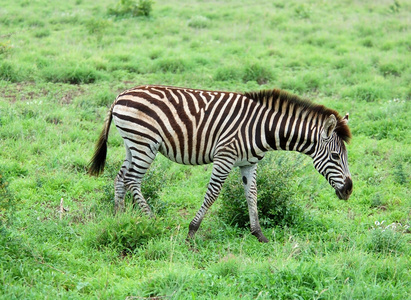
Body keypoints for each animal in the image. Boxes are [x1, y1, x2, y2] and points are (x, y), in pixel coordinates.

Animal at [88, 84, 352, 241]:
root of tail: (121, 95)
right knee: (133, 180)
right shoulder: (225, 156)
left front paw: (259, 234)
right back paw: (152, 221)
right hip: (145, 143)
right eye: (335, 157)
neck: (262, 128)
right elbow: (213, 193)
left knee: (121, 177)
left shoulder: (249, 163)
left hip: (132, 143)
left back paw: (120, 218)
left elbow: (252, 195)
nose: (349, 190)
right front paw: (192, 232)